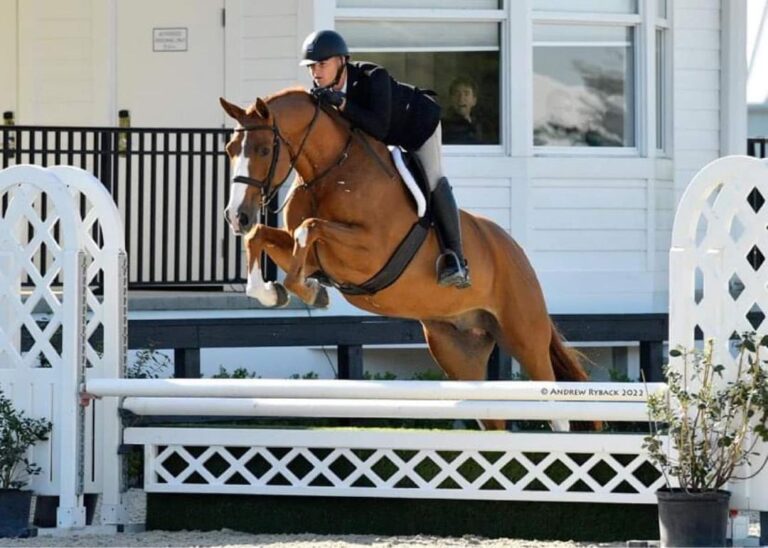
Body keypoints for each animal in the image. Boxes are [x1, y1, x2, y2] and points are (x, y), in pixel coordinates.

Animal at [219, 89, 592, 432]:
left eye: (264, 149)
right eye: (231, 150)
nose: (236, 217)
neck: (330, 171)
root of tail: (516, 250)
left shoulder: (369, 252)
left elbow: (309, 229)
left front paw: (309, 291)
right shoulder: (311, 254)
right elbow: (263, 237)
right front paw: (274, 293)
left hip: (525, 338)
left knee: (557, 412)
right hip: (458, 351)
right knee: (494, 419)